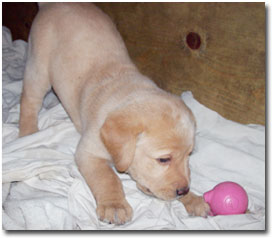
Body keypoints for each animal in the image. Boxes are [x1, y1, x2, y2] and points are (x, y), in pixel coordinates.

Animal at [19, 2, 210, 224]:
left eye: (189, 155)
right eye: (163, 159)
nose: (183, 190)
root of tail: (52, 4)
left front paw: (193, 199)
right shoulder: (88, 152)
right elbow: (107, 177)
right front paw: (114, 205)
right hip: (39, 66)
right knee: (29, 99)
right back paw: (28, 132)